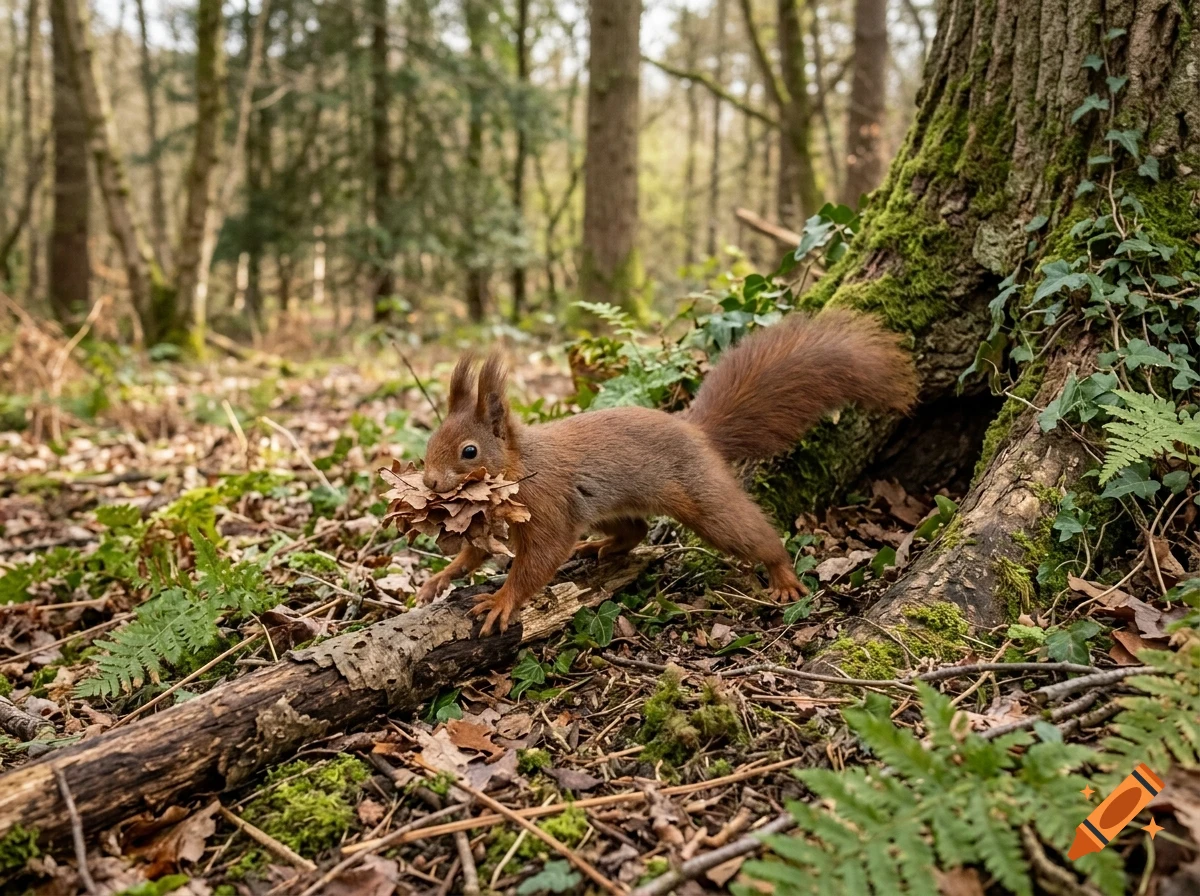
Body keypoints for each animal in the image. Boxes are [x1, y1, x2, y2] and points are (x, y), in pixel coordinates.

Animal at [417, 309, 919, 634]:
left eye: (468, 451)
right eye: (430, 441)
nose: (430, 483)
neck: (522, 465)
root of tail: (696, 431)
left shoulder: (550, 508)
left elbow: (538, 561)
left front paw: (502, 600)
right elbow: (474, 553)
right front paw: (439, 579)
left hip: (705, 500)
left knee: (749, 532)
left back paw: (783, 576)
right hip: (611, 505)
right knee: (635, 529)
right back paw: (600, 547)